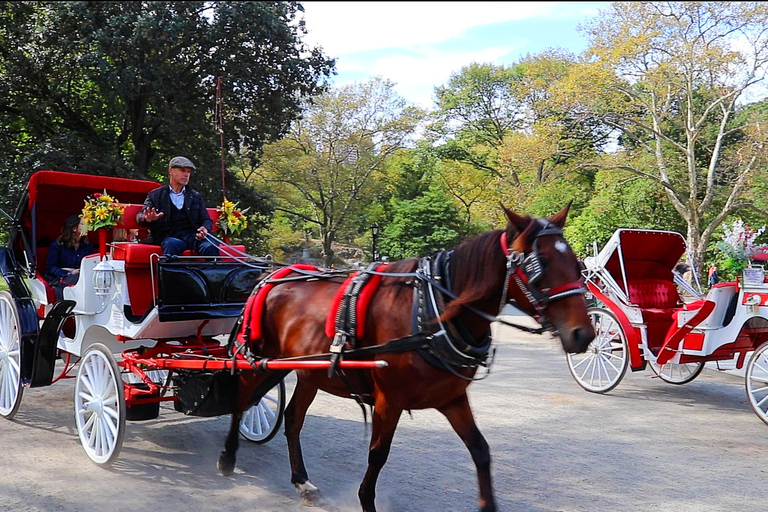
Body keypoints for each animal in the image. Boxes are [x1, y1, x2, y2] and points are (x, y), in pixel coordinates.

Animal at [216, 204, 592, 512]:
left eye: (577, 264)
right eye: (539, 268)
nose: (583, 334)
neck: (433, 313)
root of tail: (273, 275)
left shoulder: (452, 399)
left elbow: (481, 451)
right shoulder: (389, 400)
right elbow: (378, 455)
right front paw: (366, 501)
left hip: (308, 372)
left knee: (293, 418)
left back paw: (301, 481)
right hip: (259, 359)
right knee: (242, 398)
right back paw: (228, 455)